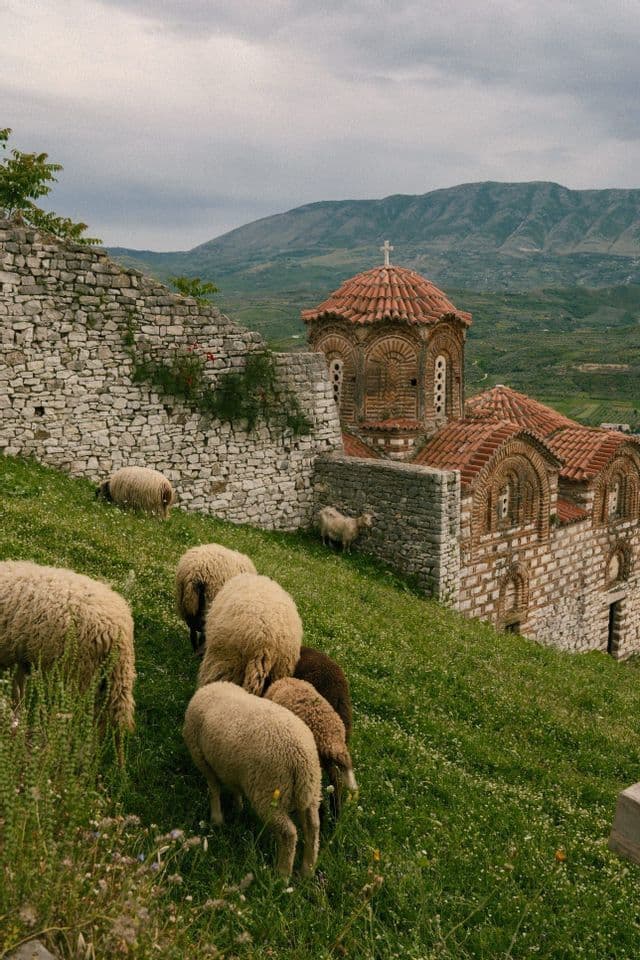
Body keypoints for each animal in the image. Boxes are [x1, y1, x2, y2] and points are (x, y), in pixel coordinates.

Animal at [0, 560, 135, 763]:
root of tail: (119, 631)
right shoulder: (17, 659)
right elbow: (18, 692)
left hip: (79, 676)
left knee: (81, 722)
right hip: (103, 682)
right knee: (102, 722)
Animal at [183, 681, 321, 877]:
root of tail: (300, 758)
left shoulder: (202, 758)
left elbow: (214, 789)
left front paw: (216, 819)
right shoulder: (232, 769)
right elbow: (234, 788)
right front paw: (238, 807)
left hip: (269, 793)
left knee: (289, 834)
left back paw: (282, 874)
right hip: (312, 792)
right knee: (313, 828)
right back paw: (307, 870)